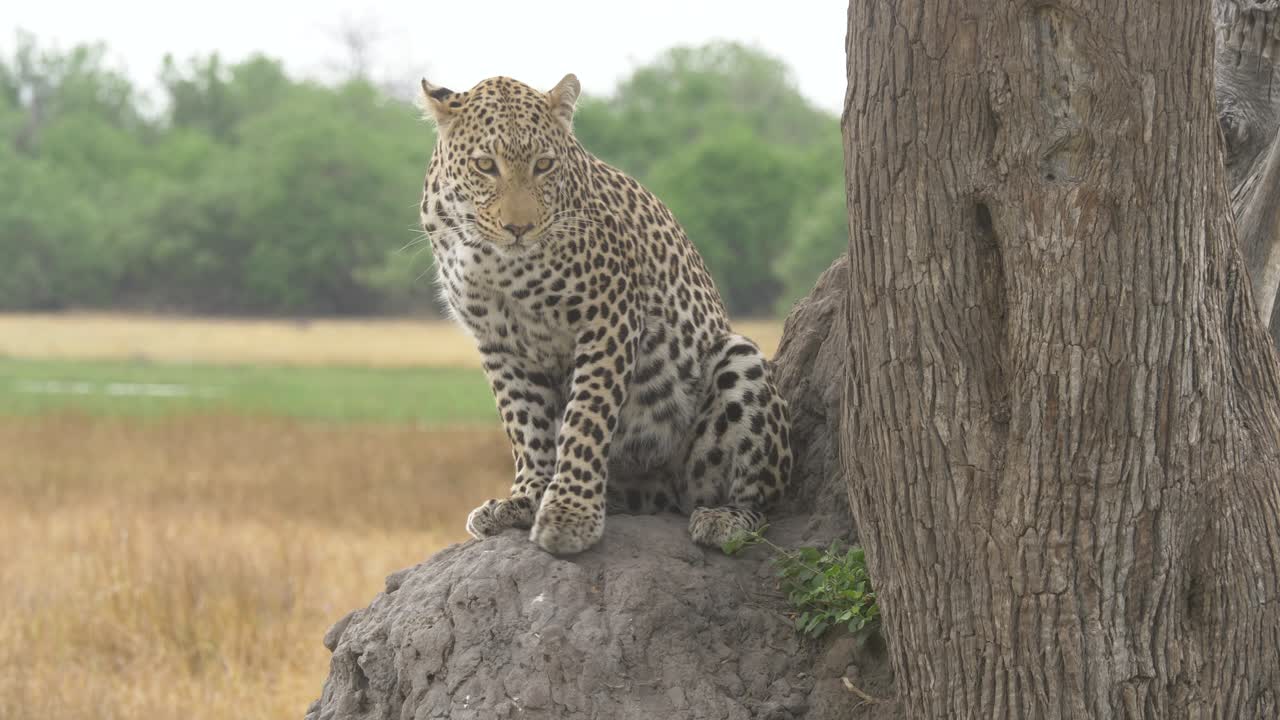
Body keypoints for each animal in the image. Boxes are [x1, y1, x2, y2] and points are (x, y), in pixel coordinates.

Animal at [417, 72, 792, 555]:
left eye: (544, 165)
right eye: (485, 165)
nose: (518, 229)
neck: (493, 260)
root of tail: (660, 492)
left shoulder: (608, 316)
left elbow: (586, 417)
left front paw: (569, 514)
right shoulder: (497, 342)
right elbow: (525, 423)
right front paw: (527, 497)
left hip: (738, 360)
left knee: (763, 497)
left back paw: (725, 520)